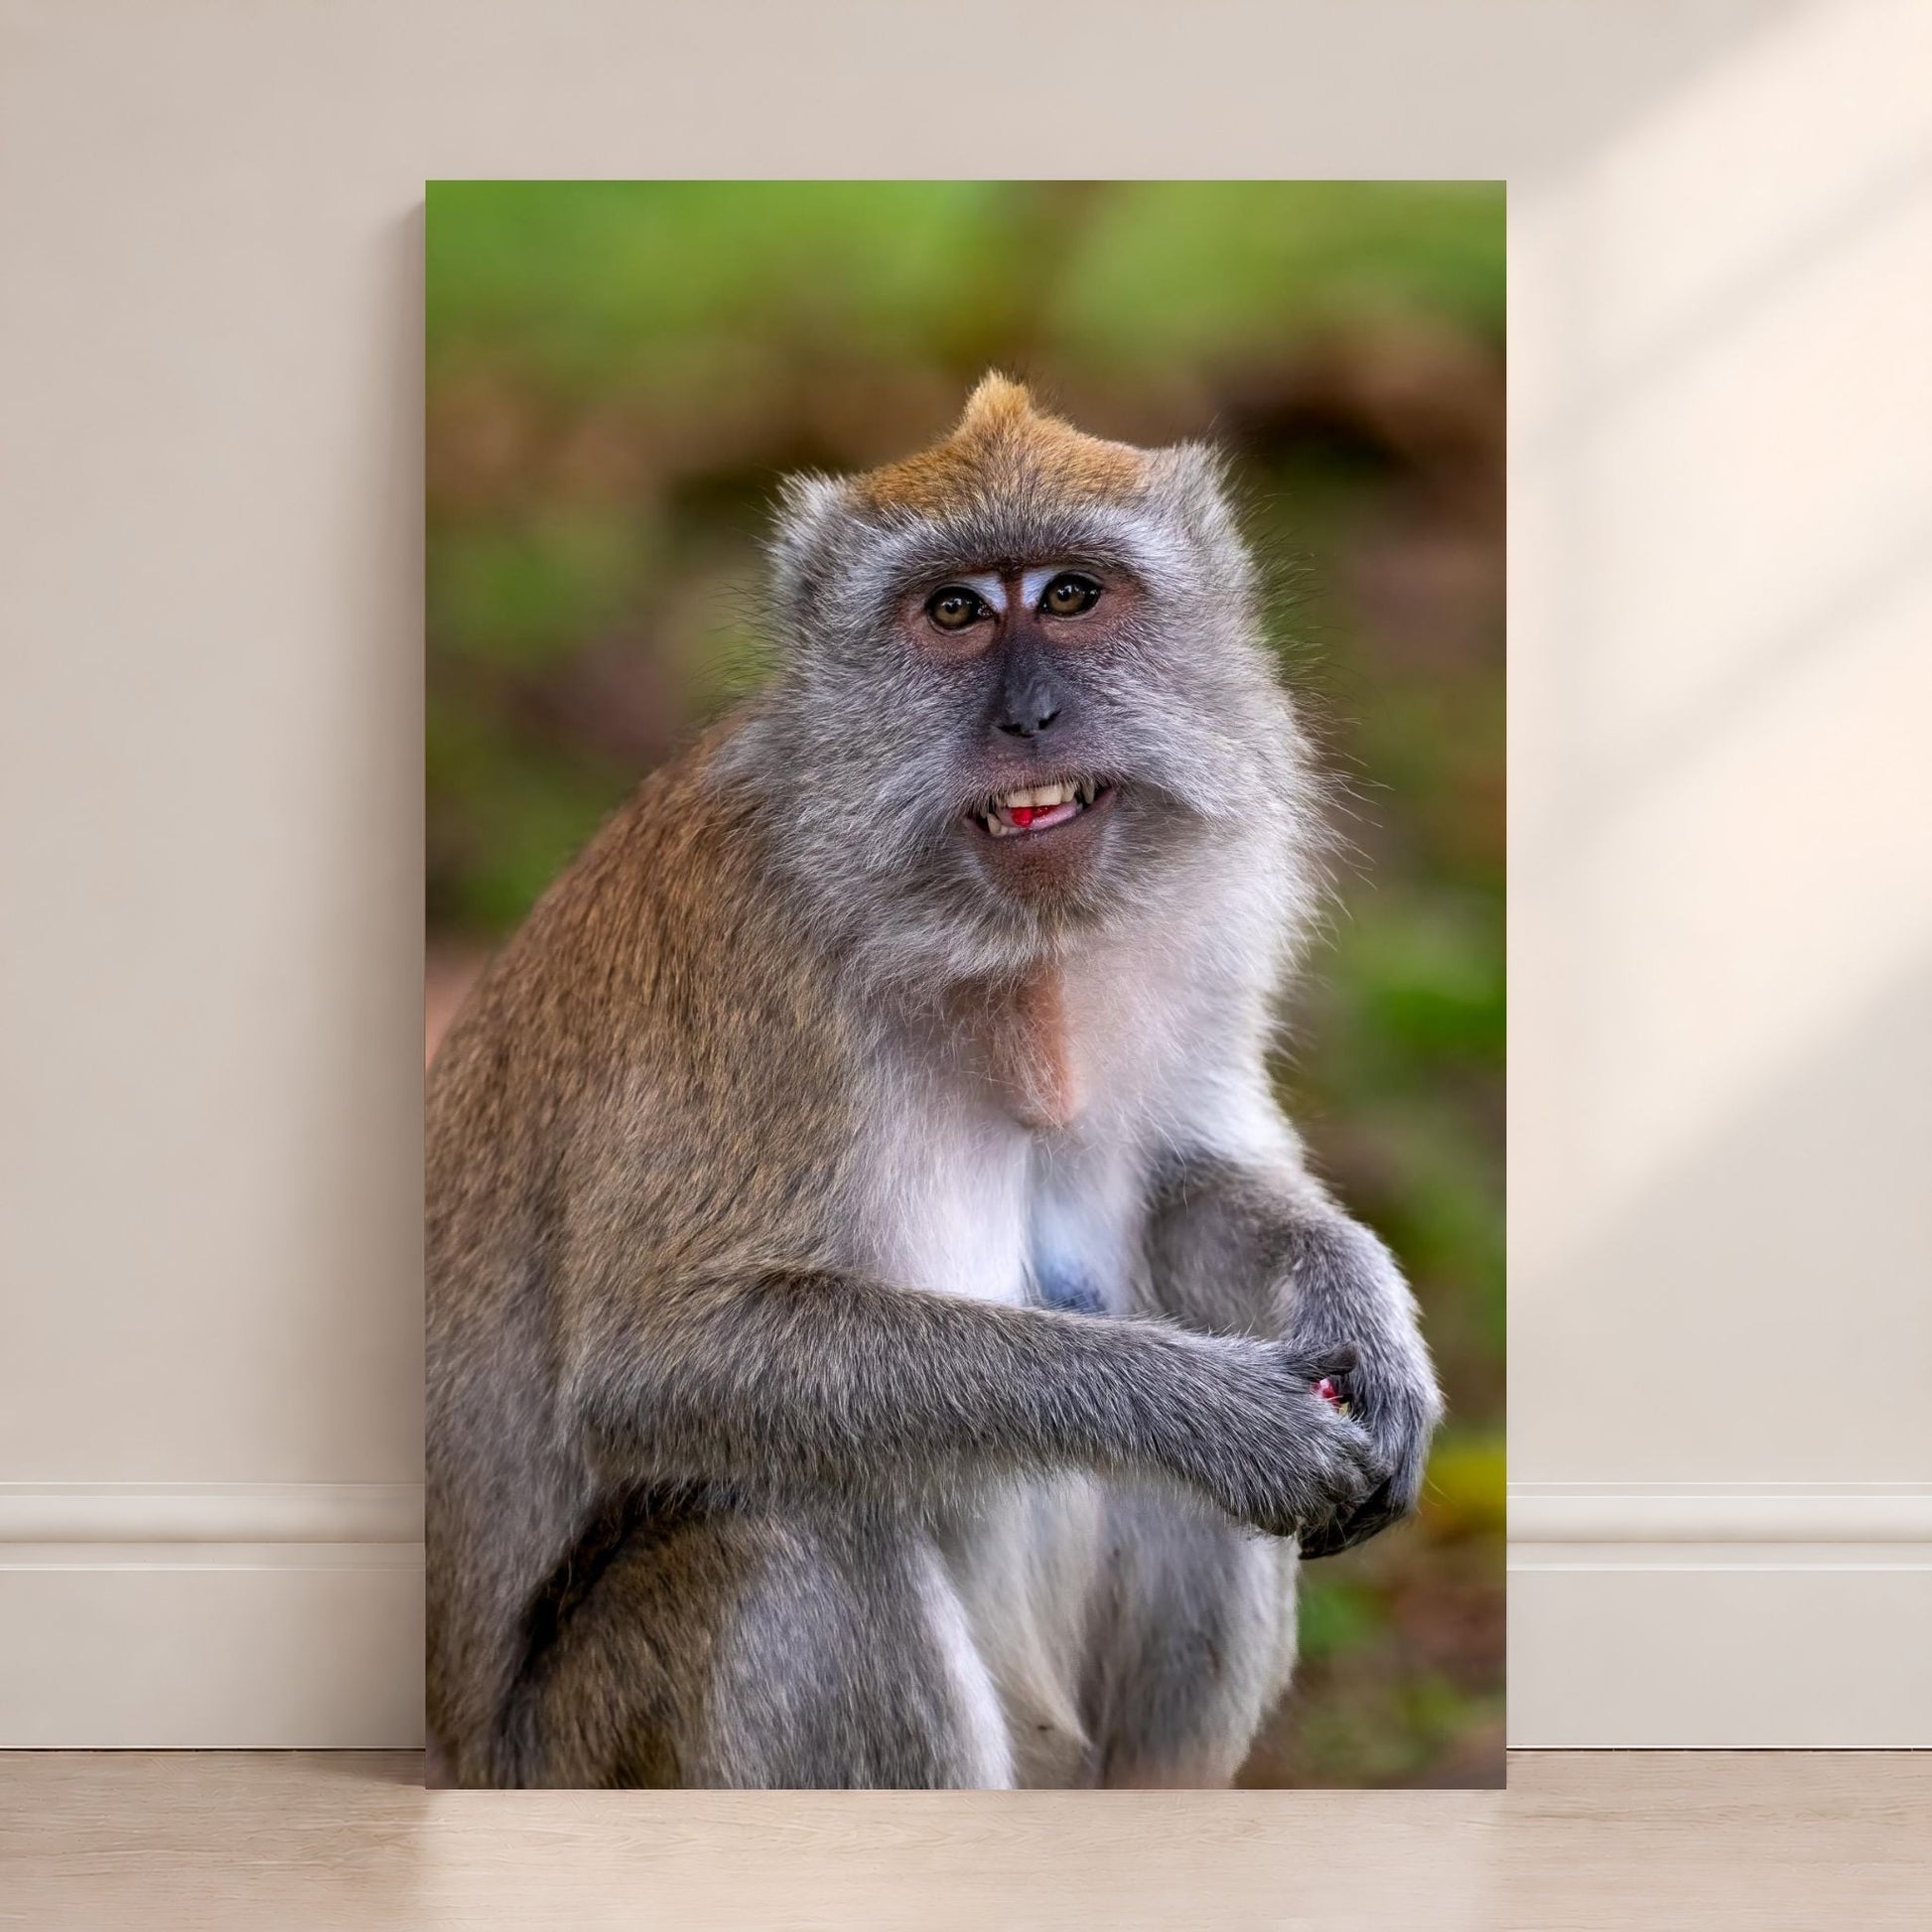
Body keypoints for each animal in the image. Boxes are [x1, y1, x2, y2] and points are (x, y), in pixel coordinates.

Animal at [425, 374, 1443, 1790]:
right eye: (953, 611)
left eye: (1068, 595)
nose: (1028, 718)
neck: (992, 950)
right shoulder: (751, 963)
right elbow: (663, 1359)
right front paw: (1207, 1410)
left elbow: (1187, 1188)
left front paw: (1365, 1313)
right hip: (566, 1760)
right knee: (792, 1525)